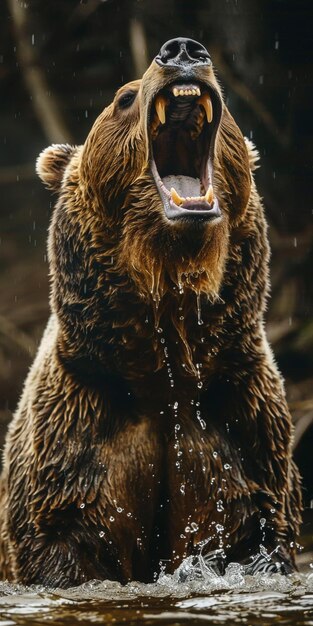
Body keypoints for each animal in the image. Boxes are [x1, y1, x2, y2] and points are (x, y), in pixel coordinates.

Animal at [0, 37, 300, 584]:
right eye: (124, 97)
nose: (183, 51)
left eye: (229, 112)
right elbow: (63, 542)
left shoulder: (242, 429)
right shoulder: (80, 427)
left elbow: (254, 533)